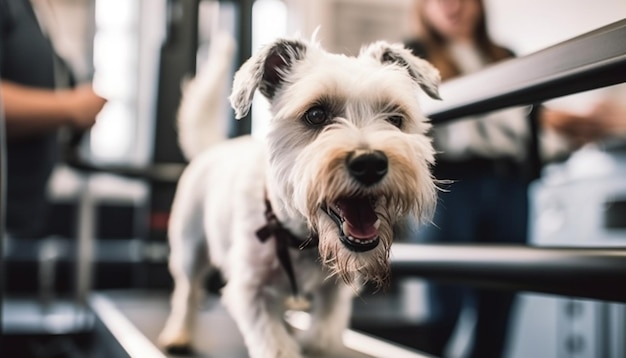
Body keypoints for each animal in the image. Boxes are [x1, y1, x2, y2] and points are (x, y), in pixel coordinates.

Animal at [156, 32, 438, 356]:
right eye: (316, 114)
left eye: (395, 118)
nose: (370, 163)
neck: (301, 236)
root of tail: (215, 147)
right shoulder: (251, 291)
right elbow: (275, 344)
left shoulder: (335, 292)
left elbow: (321, 337)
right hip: (189, 247)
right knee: (187, 290)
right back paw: (178, 332)